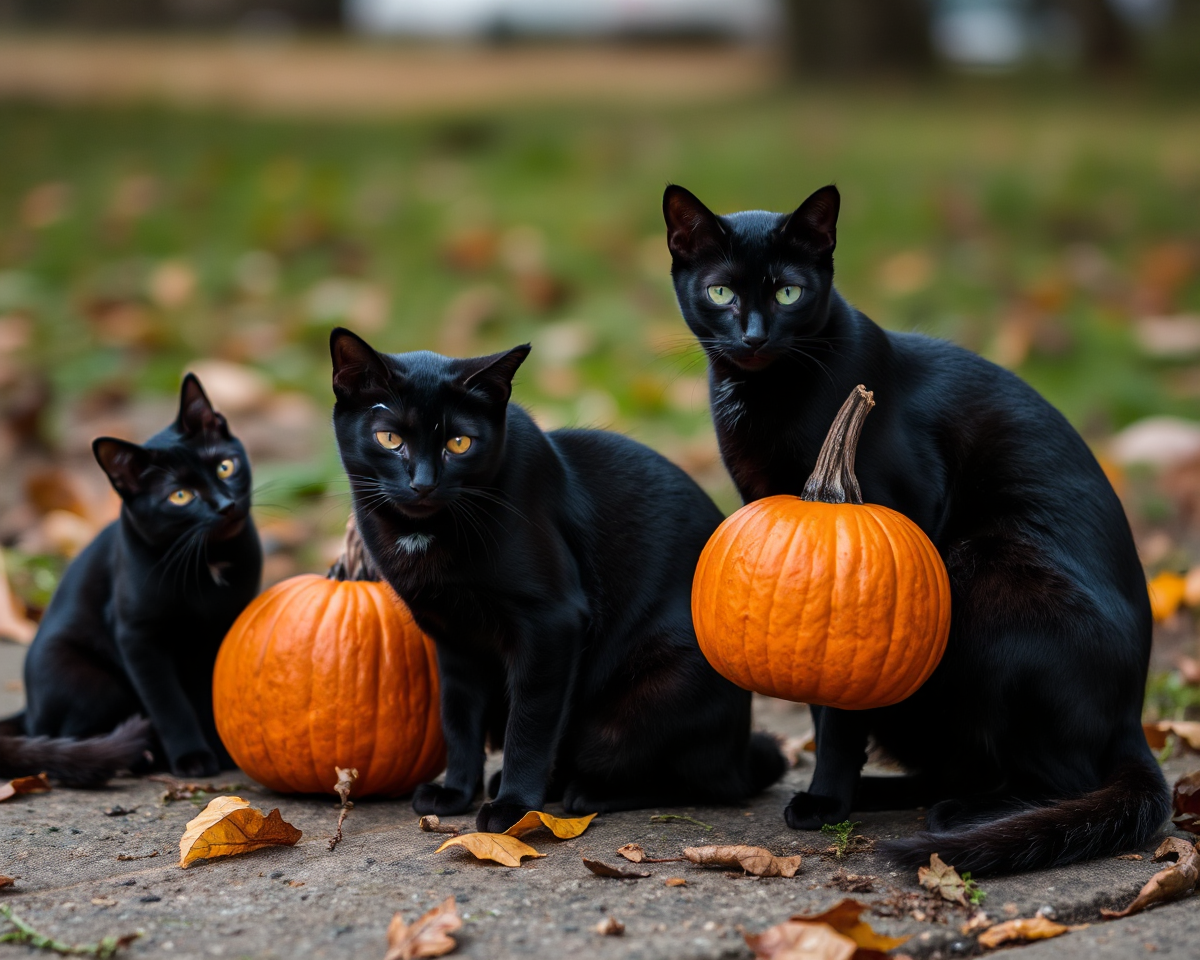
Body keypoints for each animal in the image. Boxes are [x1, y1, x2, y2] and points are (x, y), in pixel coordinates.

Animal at [21, 374, 261, 777]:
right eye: (180, 496)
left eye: (226, 467)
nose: (226, 505)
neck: (208, 562)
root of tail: (28, 713)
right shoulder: (138, 638)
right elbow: (169, 704)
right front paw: (192, 757)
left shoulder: (223, 630)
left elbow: (209, 694)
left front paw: (222, 750)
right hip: (89, 681)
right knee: (67, 736)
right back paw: (137, 757)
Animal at [328, 326, 787, 830]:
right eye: (389, 437)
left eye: (460, 444)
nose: (423, 484)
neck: (422, 536)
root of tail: (739, 751)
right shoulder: (455, 640)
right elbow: (459, 722)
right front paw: (456, 793)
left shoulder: (551, 622)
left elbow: (529, 723)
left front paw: (512, 809)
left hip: (649, 700)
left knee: (702, 782)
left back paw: (584, 792)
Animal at [662, 183, 1166, 873]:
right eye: (720, 293)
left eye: (788, 292)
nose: (754, 335)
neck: (766, 396)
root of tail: (1132, 720)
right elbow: (822, 708)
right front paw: (834, 796)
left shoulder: (897, 515)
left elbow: (841, 717)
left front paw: (825, 801)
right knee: (956, 762)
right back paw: (889, 794)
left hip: (985, 573)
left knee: (1060, 780)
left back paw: (969, 816)